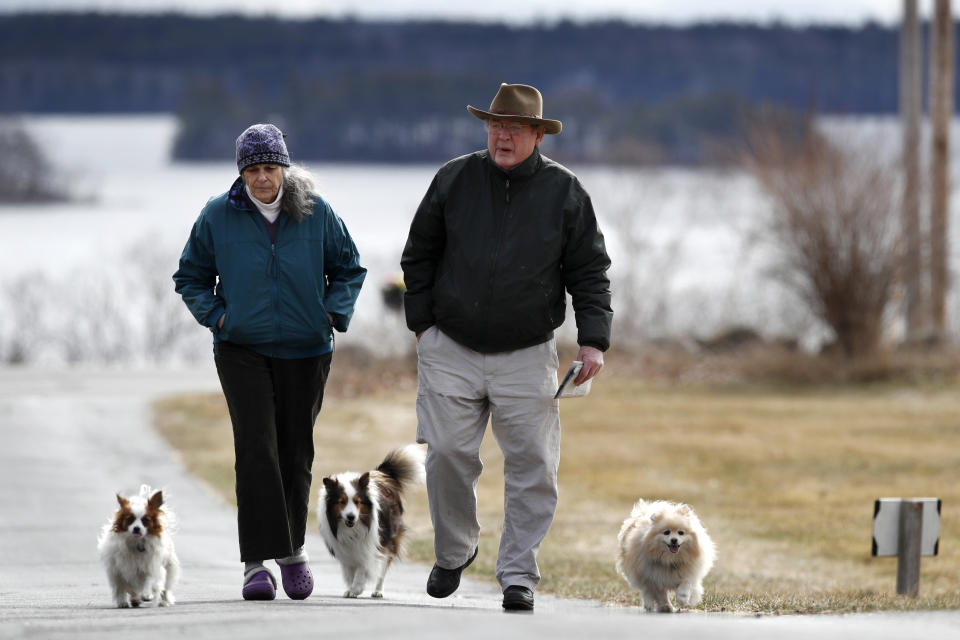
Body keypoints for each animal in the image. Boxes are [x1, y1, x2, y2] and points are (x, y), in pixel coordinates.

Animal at [318, 448, 424, 596]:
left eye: (357, 502)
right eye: (341, 502)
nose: (351, 517)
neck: (353, 529)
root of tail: (381, 475)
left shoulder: (372, 543)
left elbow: (363, 565)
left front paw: (357, 588)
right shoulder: (344, 549)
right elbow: (349, 571)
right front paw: (350, 588)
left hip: (389, 538)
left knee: (383, 569)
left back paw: (378, 591)